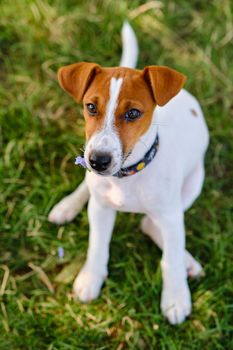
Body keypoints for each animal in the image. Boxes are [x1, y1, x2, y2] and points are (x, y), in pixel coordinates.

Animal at [48, 22, 208, 326]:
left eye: (133, 113)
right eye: (90, 107)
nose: (98, 161)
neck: (128, 176)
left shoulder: (171, 217)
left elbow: (170, 259)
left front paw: (175, 298)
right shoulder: (100, 208)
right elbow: (97, 245)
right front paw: (91, 278)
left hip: (194, 182)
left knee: (150, 225)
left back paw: (188, 262)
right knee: (90, 189)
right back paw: (67, 205)